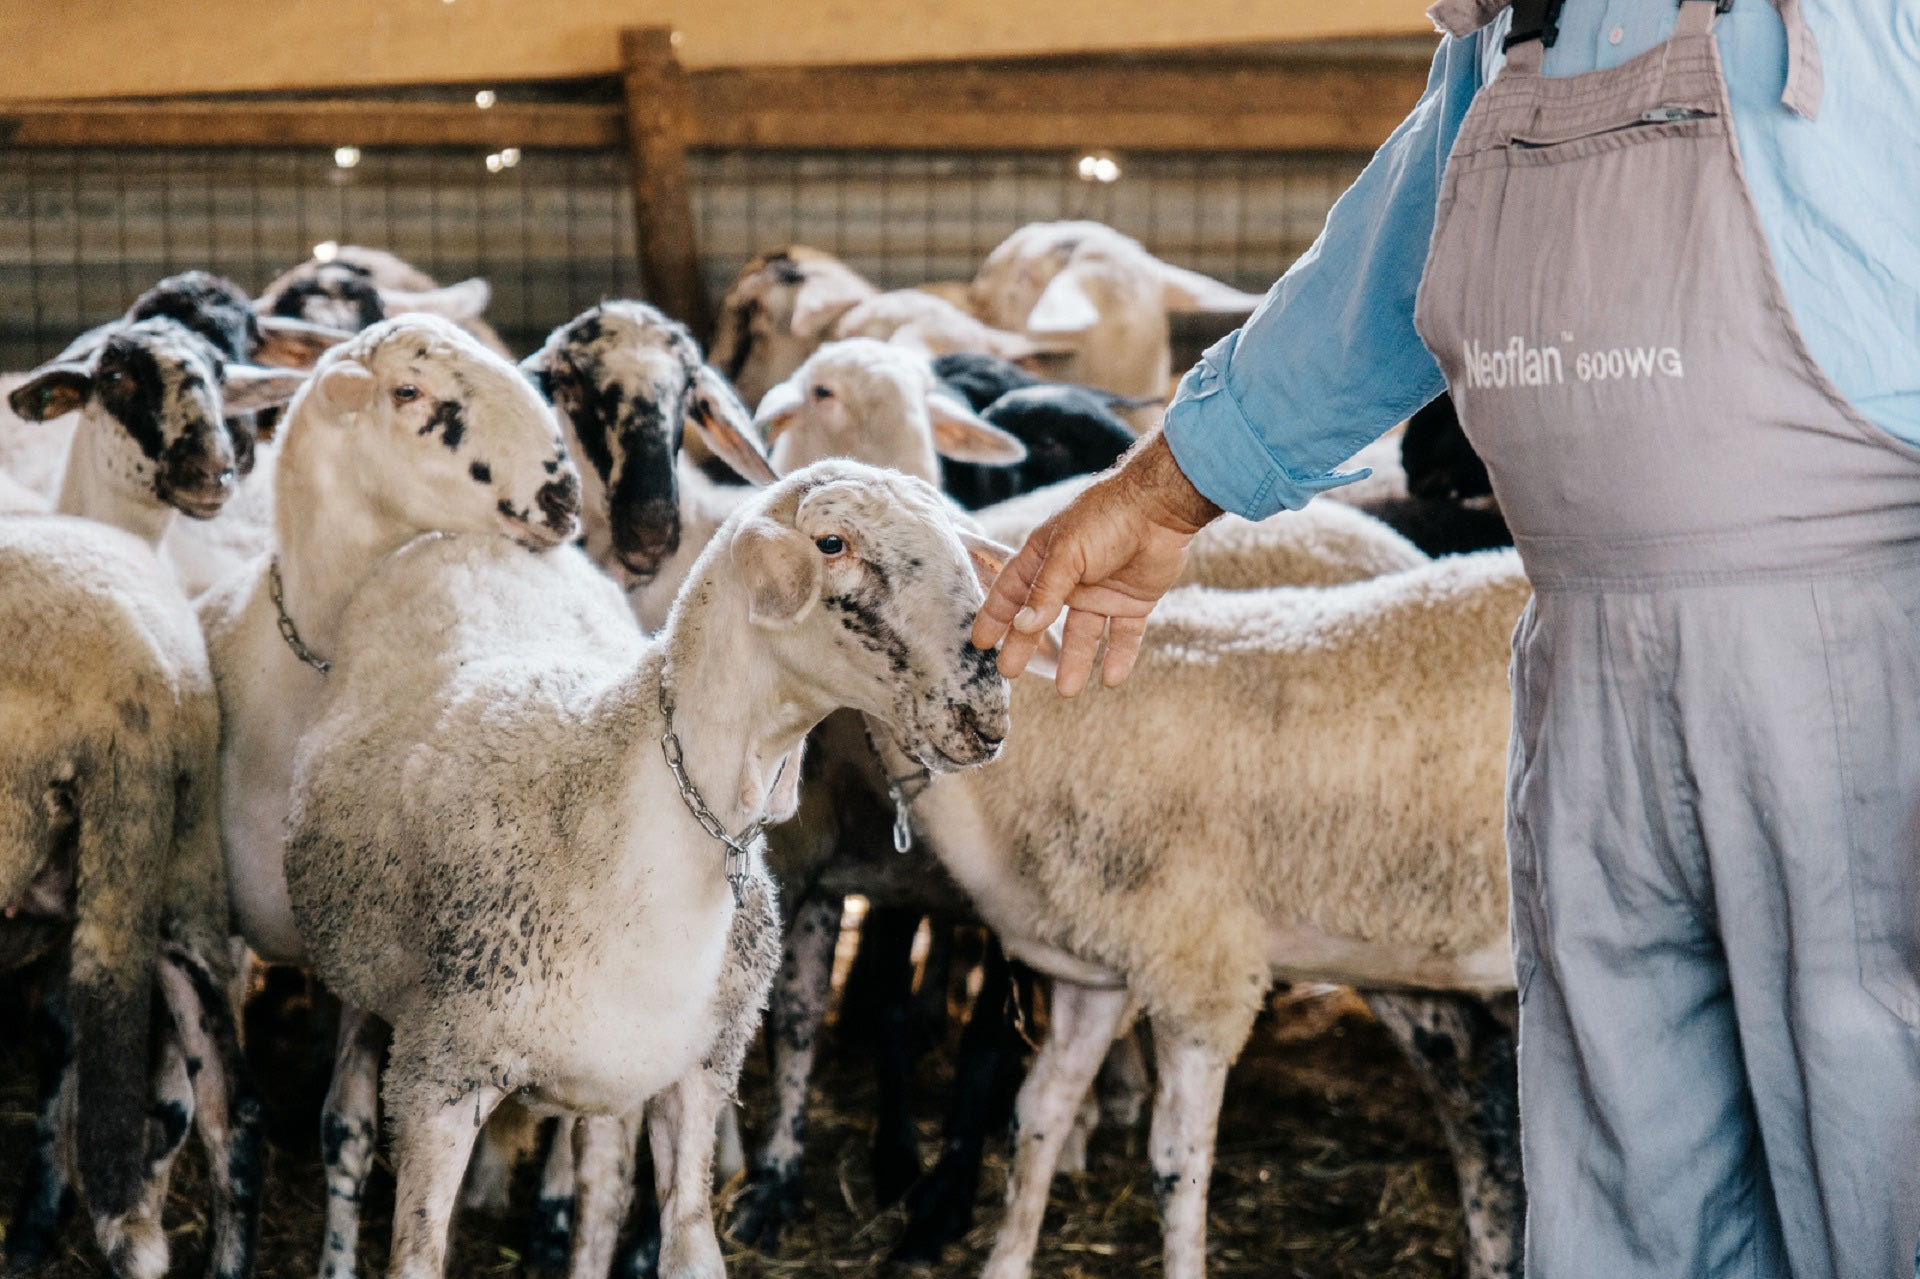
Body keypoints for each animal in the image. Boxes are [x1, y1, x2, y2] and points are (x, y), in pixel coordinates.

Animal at [195, 311, 587, 1275]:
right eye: (409, 392)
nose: (565, 498)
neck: (312, 674)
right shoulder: (217, 925)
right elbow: (230, 1114)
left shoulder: (363, 963)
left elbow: (347, 1129)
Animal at [282, 458, 1021, 1275]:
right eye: (832, 543)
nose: (987, 707)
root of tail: (469, 538)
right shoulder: (439, 1078)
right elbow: (417, 1252)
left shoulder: (698, 1070)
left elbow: (686, 1245)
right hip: (367, 980)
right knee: (346, 1126)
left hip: (615, 1070)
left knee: (601, 1194)